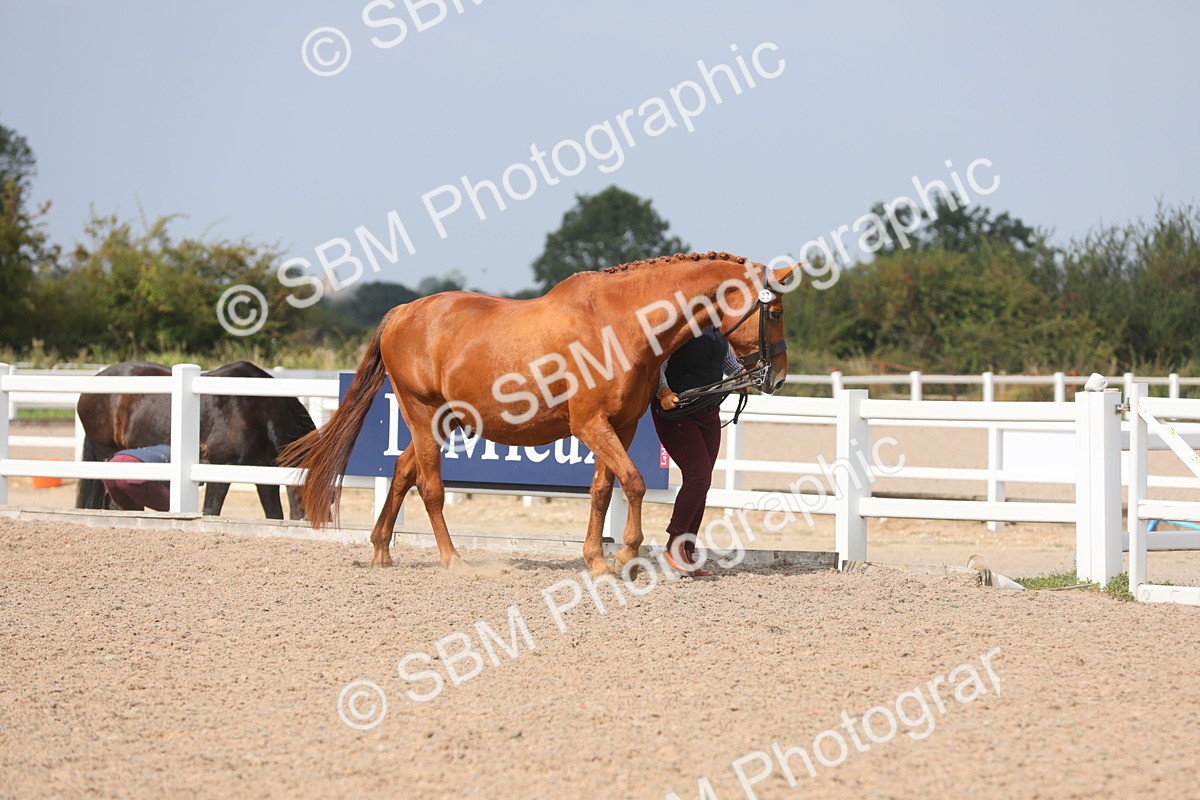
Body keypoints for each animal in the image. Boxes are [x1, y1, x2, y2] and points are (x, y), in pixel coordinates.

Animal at [76, 361, 317, 519]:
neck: (258, 410)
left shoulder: (263, 472)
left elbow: (274, 514)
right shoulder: (220, 467)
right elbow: (211, 511)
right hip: (107, 455)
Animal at [282, 251, 792, 575]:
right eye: (776, 312)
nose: (779, 377)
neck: (621, 323)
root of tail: (404, 311)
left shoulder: (621, 426)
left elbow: (603, 490)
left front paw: (597, 560)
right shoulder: (590, 424)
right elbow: (634, 482)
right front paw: (626, 556)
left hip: (441, 421)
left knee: (403, 471)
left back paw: (382, 551)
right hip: (423, 415)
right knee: (429, 487)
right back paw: (452, 560)